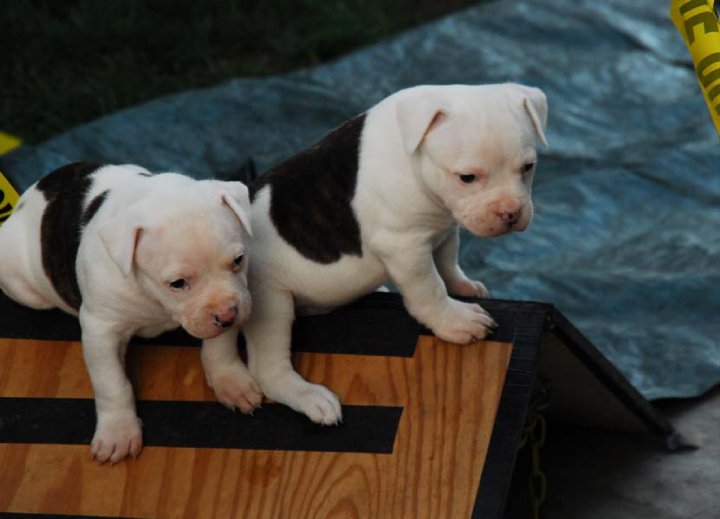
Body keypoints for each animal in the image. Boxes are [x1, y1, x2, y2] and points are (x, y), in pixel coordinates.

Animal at [0, 165, 258, 466]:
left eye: (239, 260)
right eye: (177, 283)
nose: (228, 315)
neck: (154, 299)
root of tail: (30, 193)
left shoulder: (237, 296)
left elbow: (220, 347)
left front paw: (231, 381)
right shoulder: (101, 331)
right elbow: (111, 382)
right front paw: (118, 433)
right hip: (23, 285)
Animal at [207, 82, 544, 426]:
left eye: (527, 168)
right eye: (467, 177)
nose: (510, 213)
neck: (413, 156)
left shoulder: (444, 228)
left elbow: (448, 262)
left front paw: (464, 286)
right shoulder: (404, 247)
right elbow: (430, 288)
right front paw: (454, 320)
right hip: (271, 303)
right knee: (268, 369)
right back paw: (311, 397)